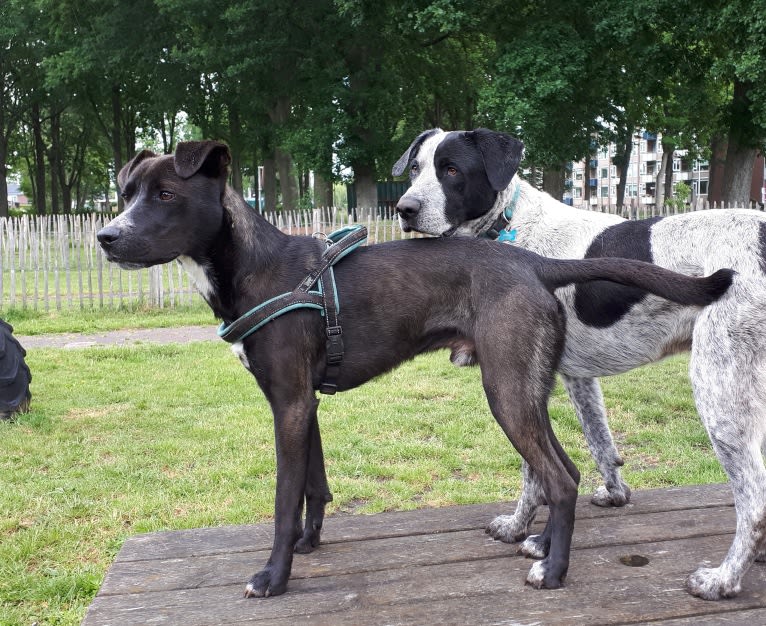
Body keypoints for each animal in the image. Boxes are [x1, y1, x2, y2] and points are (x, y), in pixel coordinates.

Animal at [99, 140, 736, 596]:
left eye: (165, 194)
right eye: (127, 192)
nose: (106, 236)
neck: (259, 268)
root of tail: (534, 264)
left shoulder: (289, 405)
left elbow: (282, 501)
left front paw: (273, 577)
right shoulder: (305, 403)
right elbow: (313, 486)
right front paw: (309, 544)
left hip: (506, 392)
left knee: (558, 478)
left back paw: (553, 575)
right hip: (527, 388)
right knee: (569, 472)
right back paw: (542, 550)